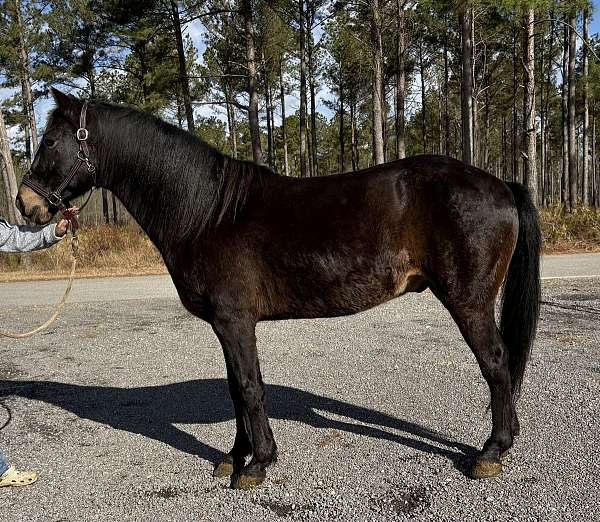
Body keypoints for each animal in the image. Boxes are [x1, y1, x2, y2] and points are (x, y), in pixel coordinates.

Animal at [16, 88, 540, 484]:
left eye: (49, 141)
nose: (25, 205)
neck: (209, 211)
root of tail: (501, 184)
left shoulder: (234, 321)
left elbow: (250, 388)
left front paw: (258, 464)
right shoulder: (226, 325)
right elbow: (235, 389)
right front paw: (234, 457)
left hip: (468, 301)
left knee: (497, 364)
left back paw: (491, 452)